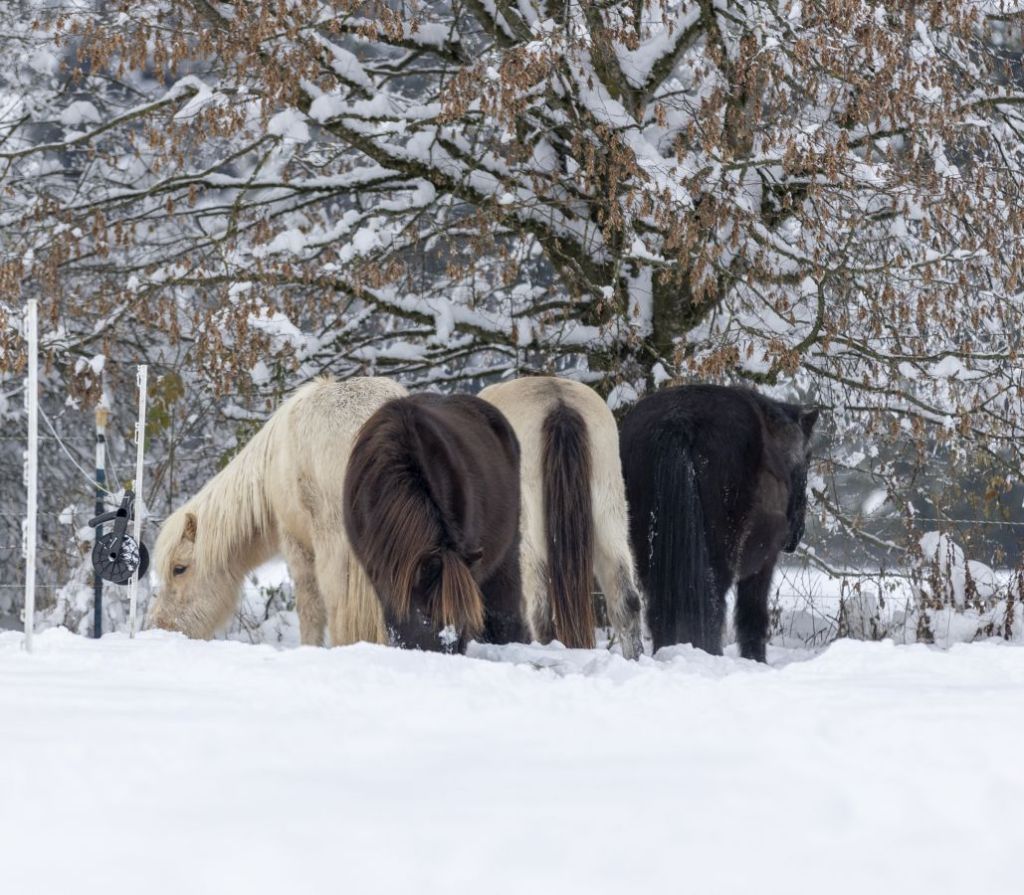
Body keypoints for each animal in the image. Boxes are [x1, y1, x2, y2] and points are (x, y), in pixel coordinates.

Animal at [619, 384, 818, 662]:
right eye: (808, 459)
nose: (796, 534)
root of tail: (678, 419)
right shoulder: (764, 564)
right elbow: (753, 617)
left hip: (648, 552)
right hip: (719, 556)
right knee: (713, 607)